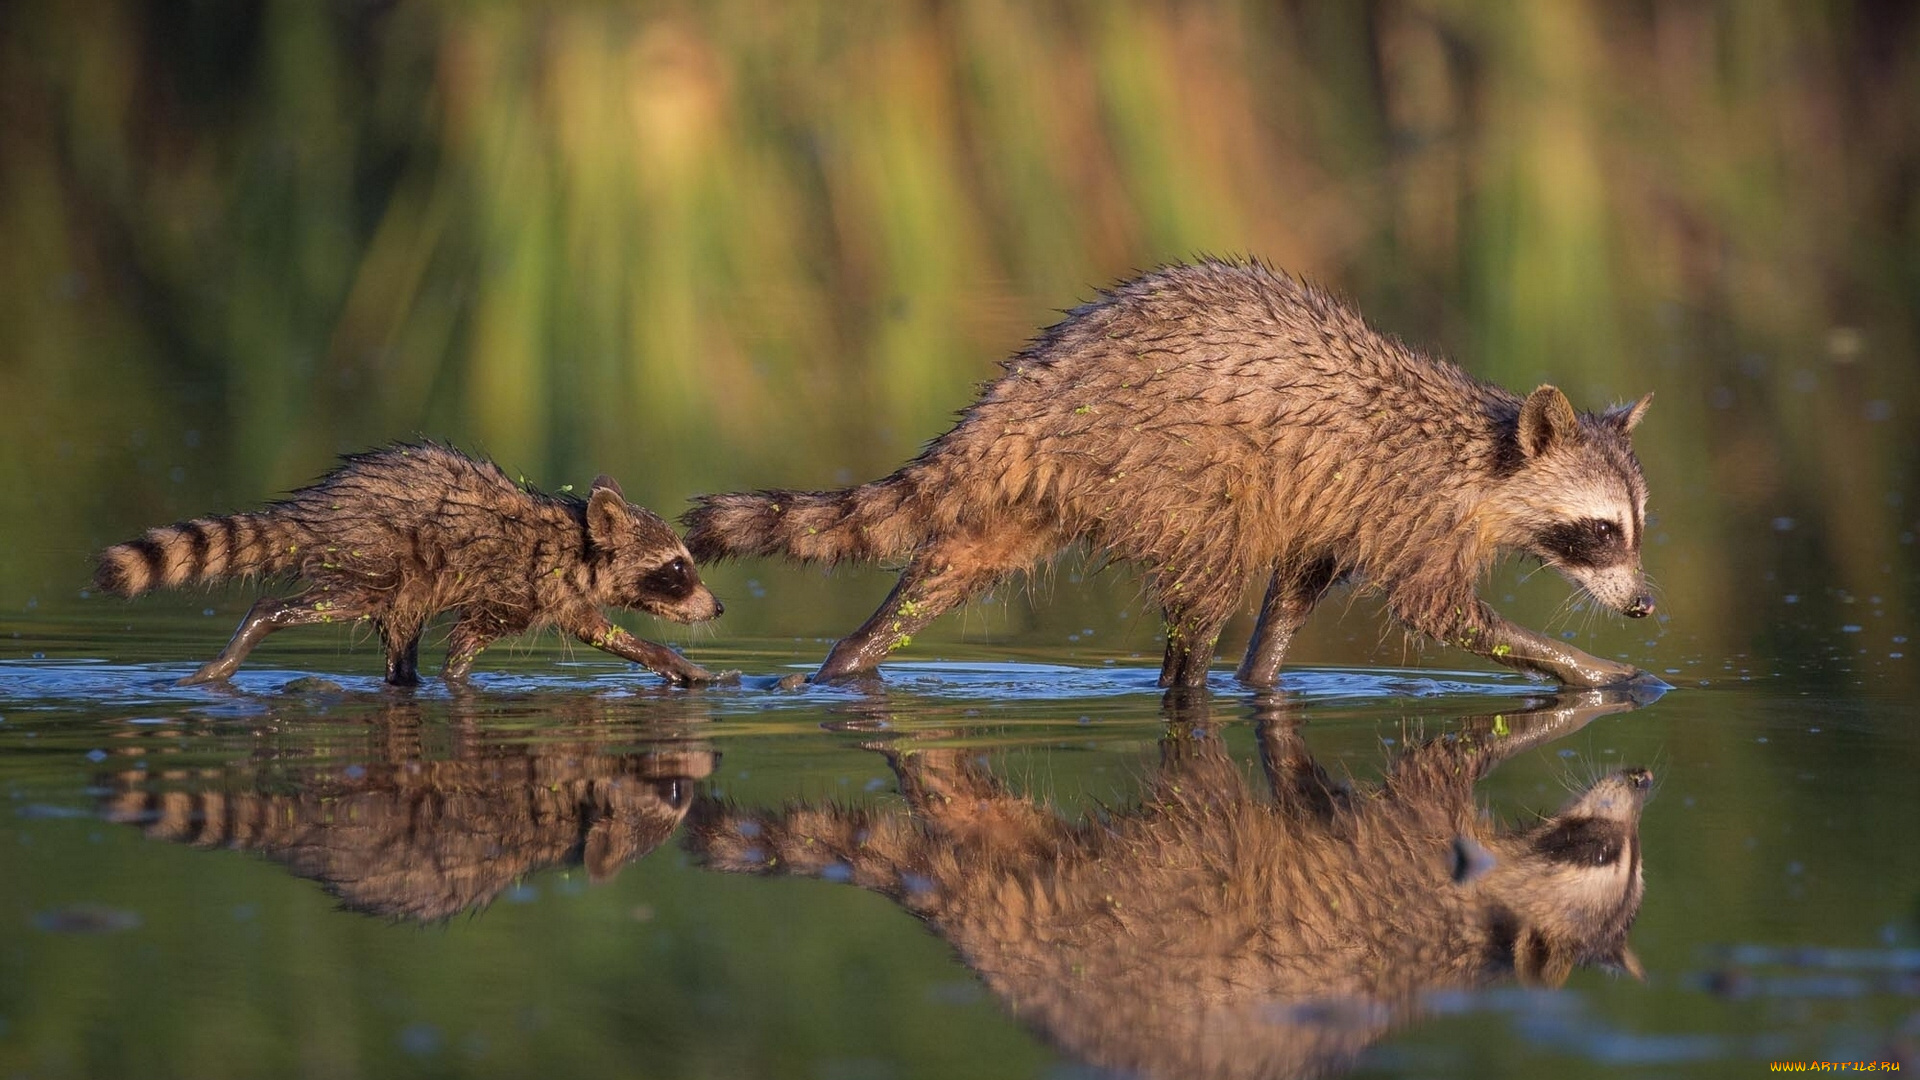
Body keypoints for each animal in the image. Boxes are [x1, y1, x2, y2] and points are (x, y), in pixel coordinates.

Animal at [91, 441, 721, 684]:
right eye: (678, 568)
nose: (717, 608)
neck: (579, 541)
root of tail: (312, 512)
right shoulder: (522, 586)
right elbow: (470, 650)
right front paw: (676, 661)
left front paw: (675, 664)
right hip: (373, 561)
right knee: (303, 605)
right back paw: (252, 631)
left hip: (403, 585)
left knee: (400, 644)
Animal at [687, 257, 1651, 684]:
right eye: (1602, 531)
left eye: (1638, 529)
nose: (1644, 607)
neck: (1486, 457)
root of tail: (1028, 390)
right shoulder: (1414, 510)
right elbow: (1438, 614)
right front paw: (1592, 670)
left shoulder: (1333, 508)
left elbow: (1295, 591)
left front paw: (1263, 674)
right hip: (1164, 470)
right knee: (1206, 589)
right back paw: (1186, 686)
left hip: (1048, 490)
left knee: (953, 567)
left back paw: (852, 656)